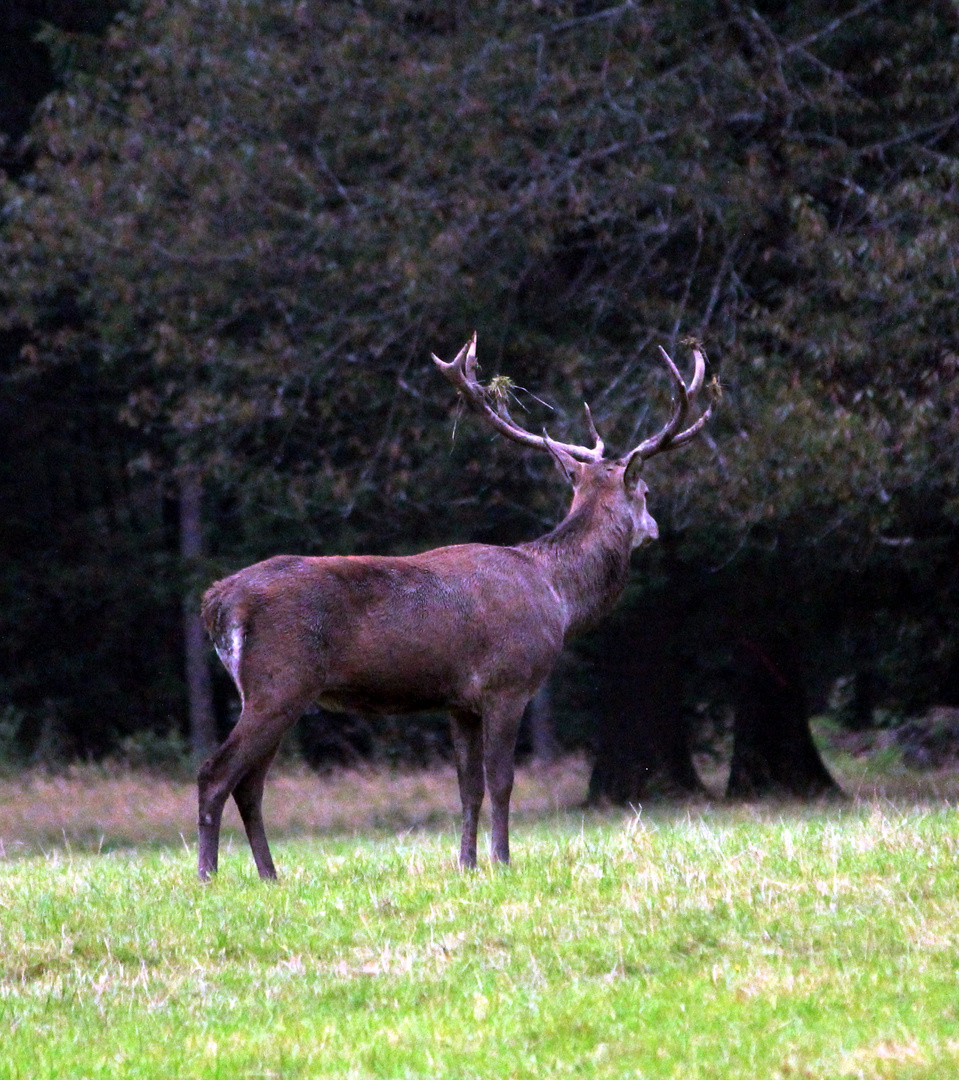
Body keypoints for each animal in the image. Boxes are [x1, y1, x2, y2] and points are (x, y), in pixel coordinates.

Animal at [196, 334, 712, 876]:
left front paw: (467, 864)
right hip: (279, 681)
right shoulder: (508, 682)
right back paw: (209, 875)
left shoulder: (460, 700)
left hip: (270, 690)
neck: (557, 596)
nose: (654, 529)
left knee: (250, 785)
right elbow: (502, 781)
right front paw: (503, 861)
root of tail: (217, 600)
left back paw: (270, 876)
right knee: (215, 773)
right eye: (647, 491)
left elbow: (469, 788)